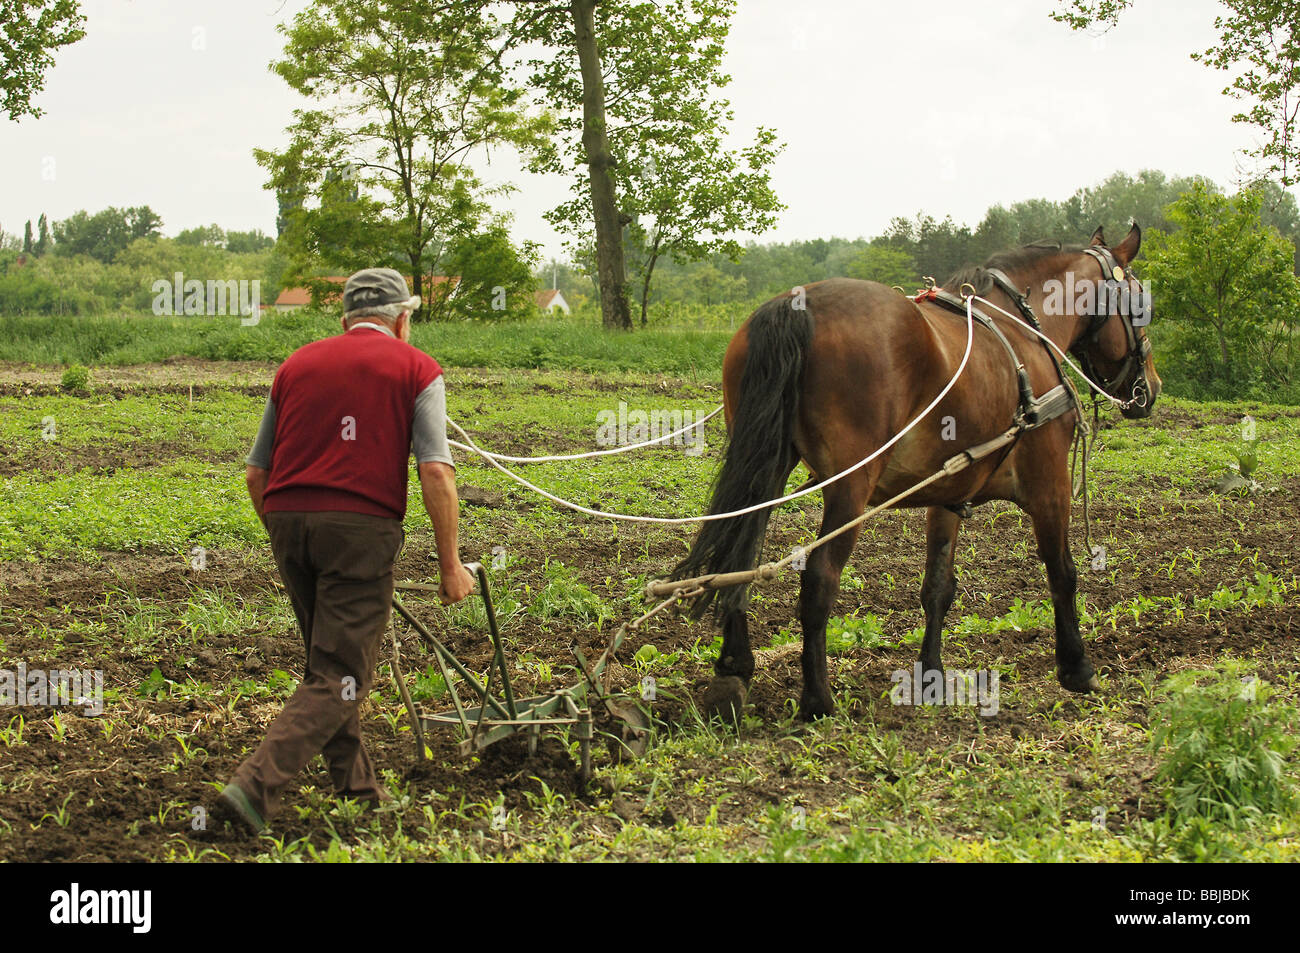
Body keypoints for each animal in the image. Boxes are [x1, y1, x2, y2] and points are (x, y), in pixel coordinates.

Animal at [670, 224, 1161, 721]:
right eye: (1141, 302)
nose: (1151, 389)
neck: (1020, 334)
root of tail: (795, 305)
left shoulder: (949, 491)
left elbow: (938, 586)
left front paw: (930, 675)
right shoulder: (1050, 486)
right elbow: (1063, 573)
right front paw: (1077, 668)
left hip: (767, 471)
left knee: (738, 559)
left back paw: (734, 669)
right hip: (850, 487)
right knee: (819, 579)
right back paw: (818, 700)